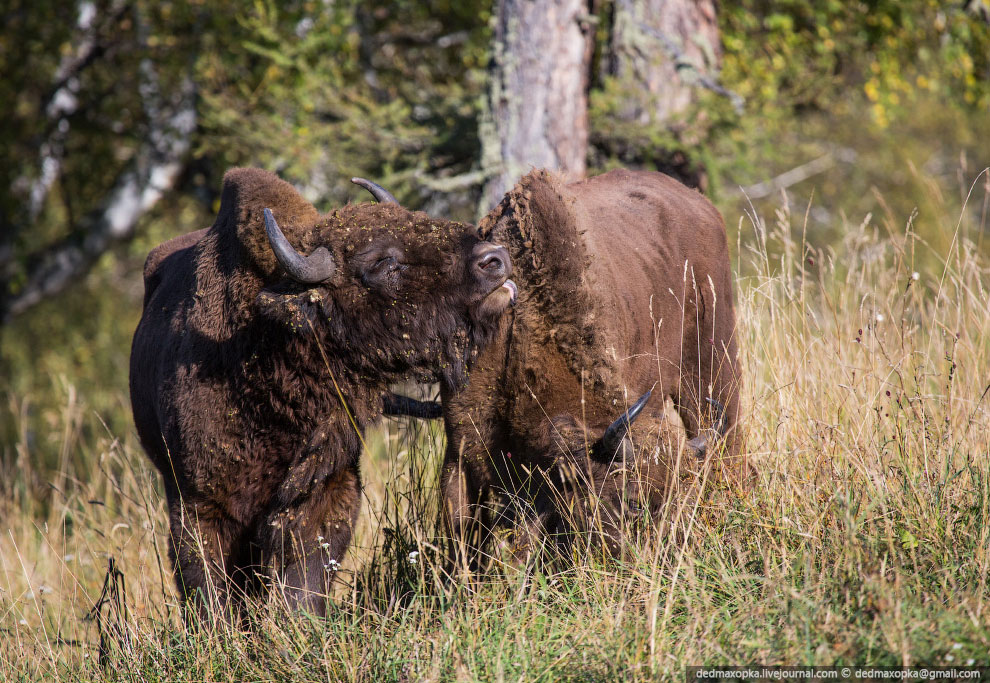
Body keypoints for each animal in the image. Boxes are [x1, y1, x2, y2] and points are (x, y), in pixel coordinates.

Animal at [129, 167, 516, 616]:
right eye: (384, 262)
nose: (496, 260)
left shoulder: (325, 491)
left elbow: (304, 580)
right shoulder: (198, 507)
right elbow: (208, 588)